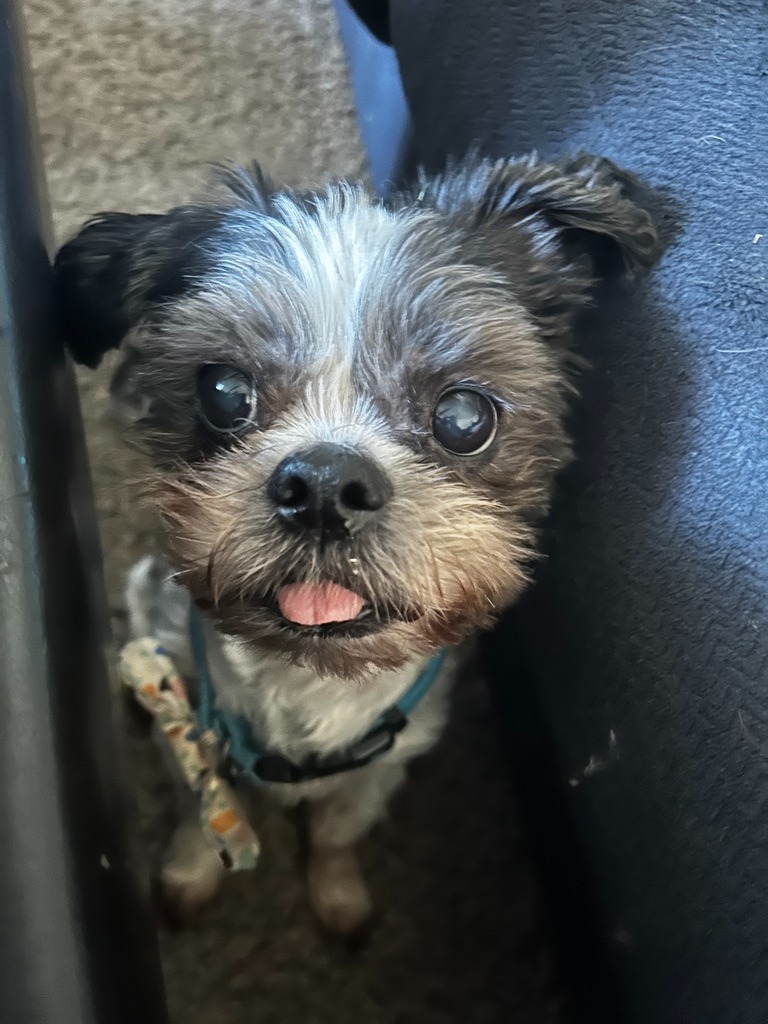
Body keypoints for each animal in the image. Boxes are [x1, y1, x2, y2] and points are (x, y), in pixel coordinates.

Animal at [54, 153, 658, 935]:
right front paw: (191, 870)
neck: (308, 681)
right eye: (223, 391)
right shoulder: (194, 729)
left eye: (464, 416)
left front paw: (337, 891)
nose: (322, 484)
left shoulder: (388, 759)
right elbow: (200, 805)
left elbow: (338, 829)